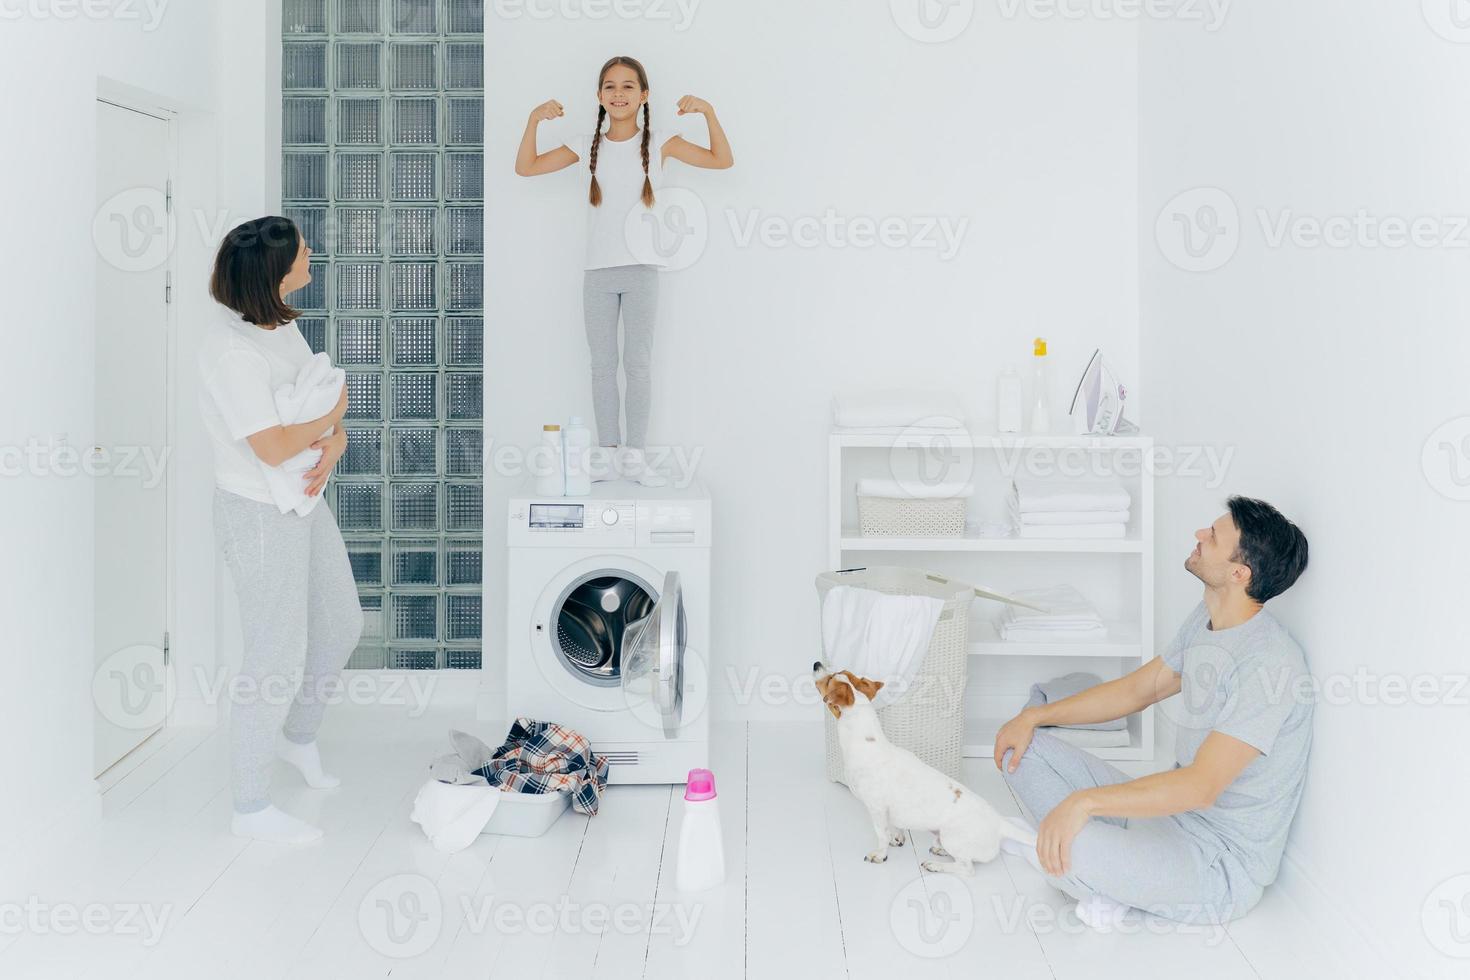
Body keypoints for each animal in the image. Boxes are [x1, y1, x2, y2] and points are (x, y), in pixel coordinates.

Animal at [817, 664, 1034, 875]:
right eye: (841, 672)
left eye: (829, 679)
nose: (816, 664)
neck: (867, 743)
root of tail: (999, 821)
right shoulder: (887, 811)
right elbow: (892, 826)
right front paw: (896, 837)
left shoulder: (876, 809)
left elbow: (881, 834)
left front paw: (880, 854)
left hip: (952, 837)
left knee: (966, 868)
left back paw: (935, 865)